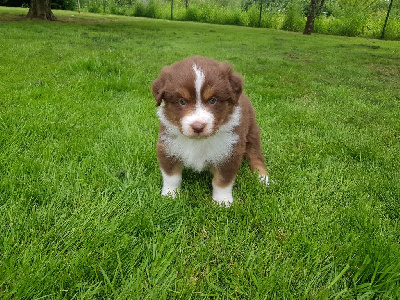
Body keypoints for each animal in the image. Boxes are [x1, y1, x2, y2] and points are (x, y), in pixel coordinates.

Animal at [152, 55, 268, 206]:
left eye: (213, 100)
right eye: (182, 101)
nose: (198, 127)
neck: (199, 142)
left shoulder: (229, 152)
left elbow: (222, 181)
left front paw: (222, 202)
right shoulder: (168, 147)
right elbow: (172, 177)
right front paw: (170, 196)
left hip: (252, 132)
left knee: (256, 156)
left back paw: (263, 178)